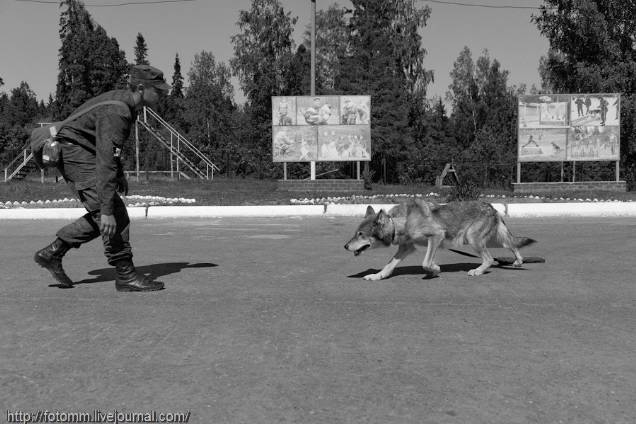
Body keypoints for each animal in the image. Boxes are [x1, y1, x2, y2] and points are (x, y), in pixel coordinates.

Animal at [346, 200, 536, 280]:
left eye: (360, 234)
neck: (400, 222)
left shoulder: (436, 237)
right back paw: (518, 262)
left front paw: (435, 270)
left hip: (473, 240)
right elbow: (388, 267)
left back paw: (477, 271)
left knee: (489, 259)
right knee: (512, 245)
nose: (345, 246)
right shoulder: (406, 249)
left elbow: (426, 262)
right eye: (355, 233)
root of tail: (492, 207)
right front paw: (377, 276)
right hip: (490, 241)